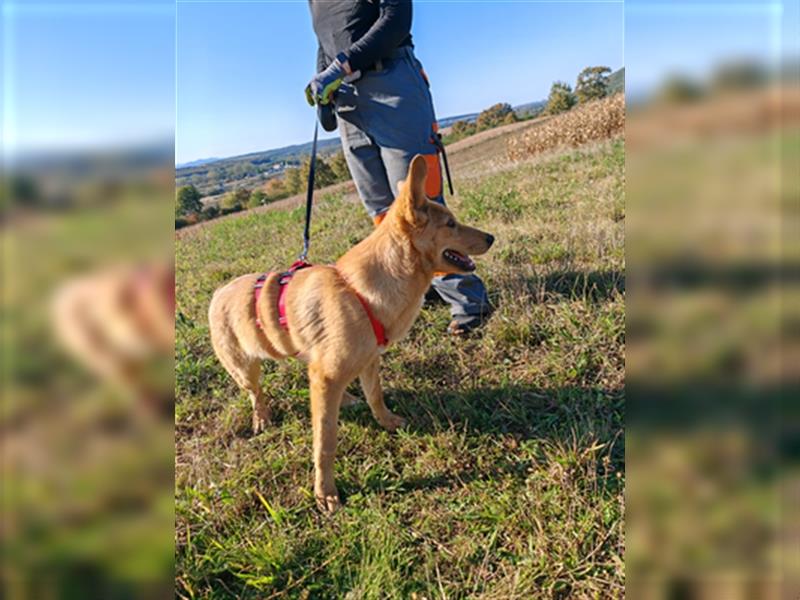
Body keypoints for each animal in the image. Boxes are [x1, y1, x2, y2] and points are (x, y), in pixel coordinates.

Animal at [208, 156, 494, 510]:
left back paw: (346, 398)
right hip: (245, 369)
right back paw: (261, 418)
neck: (360, 292)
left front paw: (387, 422)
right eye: (451, 224)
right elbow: (325, 442)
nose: (491, 238)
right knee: (256, 393)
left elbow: (375, 397)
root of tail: (218, 292)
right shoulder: (328, 377)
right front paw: (325, 491)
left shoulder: (368, 361)